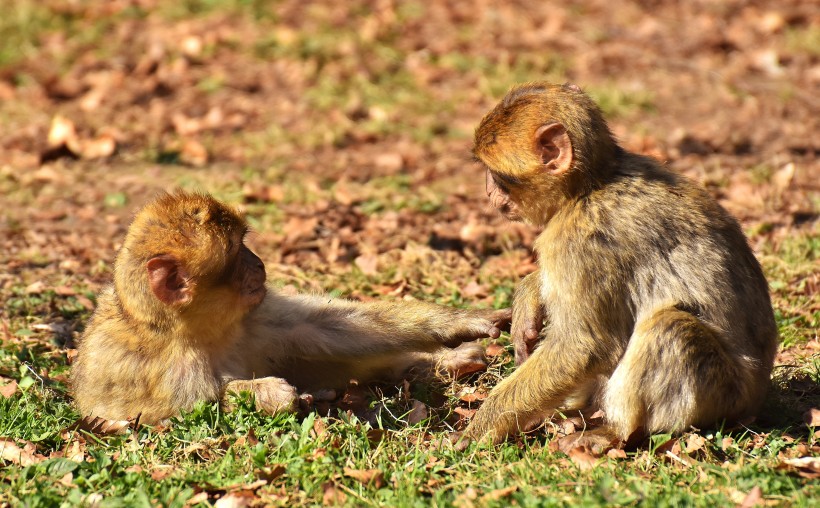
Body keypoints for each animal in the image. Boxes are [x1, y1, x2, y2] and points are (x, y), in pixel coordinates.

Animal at [72, 192, 506, 422]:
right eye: (236, 253)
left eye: (244, 243)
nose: (259, 263)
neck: (194, 330)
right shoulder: (154, 369)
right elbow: (172, 413)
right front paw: (271, 395)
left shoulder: (257, 314)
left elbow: (325, 328)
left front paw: (457, 323)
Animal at [462, 83, 776, 452]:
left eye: (498, 176)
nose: (488, 192)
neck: (591, 186)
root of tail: (756, 397)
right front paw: (529, 294)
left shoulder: (579, 242)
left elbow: (583, 347)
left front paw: (481, 425)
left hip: (725, 395)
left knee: (670, 327)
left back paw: (616, 430)